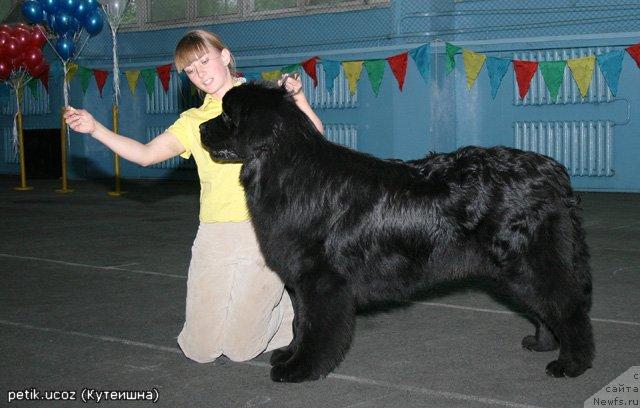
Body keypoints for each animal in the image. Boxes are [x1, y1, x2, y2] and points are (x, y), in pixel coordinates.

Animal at [200, 82, 596, 382]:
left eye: (228, 116)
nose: (202, 129)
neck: (285, 168)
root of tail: (553, 172)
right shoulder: (300, 282)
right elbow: (300, 323)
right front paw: (288, 355)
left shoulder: (320, 280)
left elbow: (316, 328)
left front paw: (302, 369)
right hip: (517, 267)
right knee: (546, 307)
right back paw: (542, 343)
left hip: (530, 260)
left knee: (567, 307)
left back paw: (571, 363)